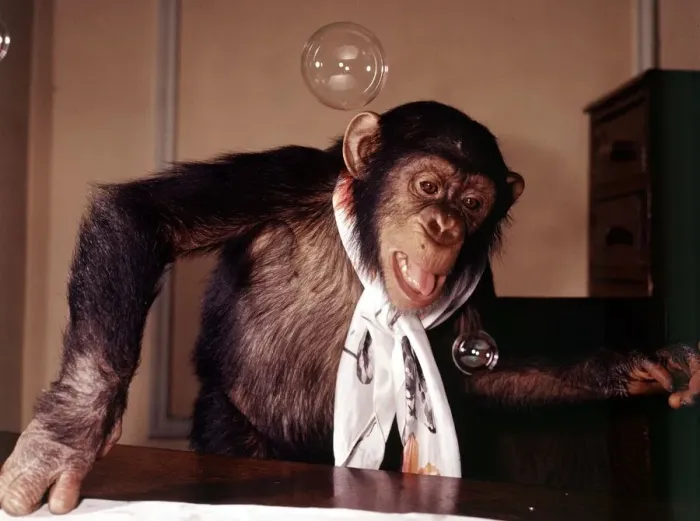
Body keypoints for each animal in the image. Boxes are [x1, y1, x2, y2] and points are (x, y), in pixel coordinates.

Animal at [0, 100, 698, 516]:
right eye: (427, 185)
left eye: (473, 203)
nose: (444, 226)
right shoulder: (279, 178)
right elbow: (144, 216)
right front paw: (64, 441)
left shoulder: (479, 281)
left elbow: (479, 368)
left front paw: (637, 367)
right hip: (232, 424)